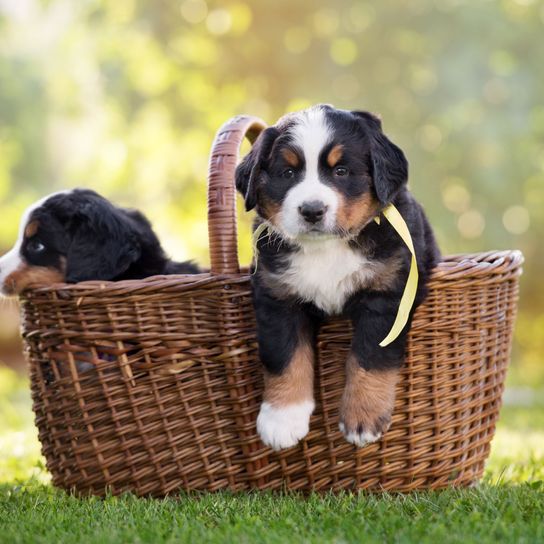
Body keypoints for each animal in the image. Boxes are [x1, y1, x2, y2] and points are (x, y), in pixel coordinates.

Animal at [236, 105, 440, 450]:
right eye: (287, 173)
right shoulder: (278, 296)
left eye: (341, 171)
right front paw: (281, 419)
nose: (312, 210)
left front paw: (363, 417)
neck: (326, 249)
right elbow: (285, 355)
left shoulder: (388, 293)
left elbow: (370, 356)